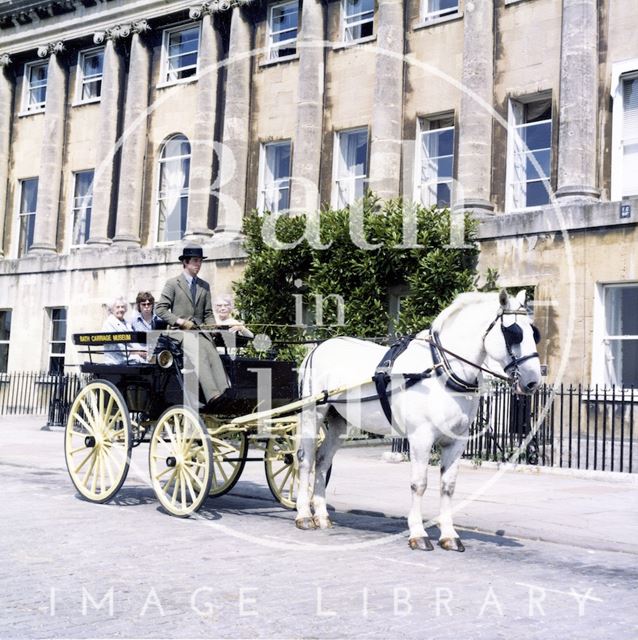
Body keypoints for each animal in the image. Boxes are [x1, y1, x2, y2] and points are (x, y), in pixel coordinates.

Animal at [298, 290, 544, 552]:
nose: (533, 381)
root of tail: (318, 347)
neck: (442, 371)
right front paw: (418, 533)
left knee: (323, 460)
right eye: (513, 333)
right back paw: (303, 515)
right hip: (313, 413)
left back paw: (321, 515)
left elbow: (448, 485)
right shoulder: (421, 437)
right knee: (306, 460)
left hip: (338, 421)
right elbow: (419, 484)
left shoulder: (457, 441)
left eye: (534, 332)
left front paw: (449, 535)